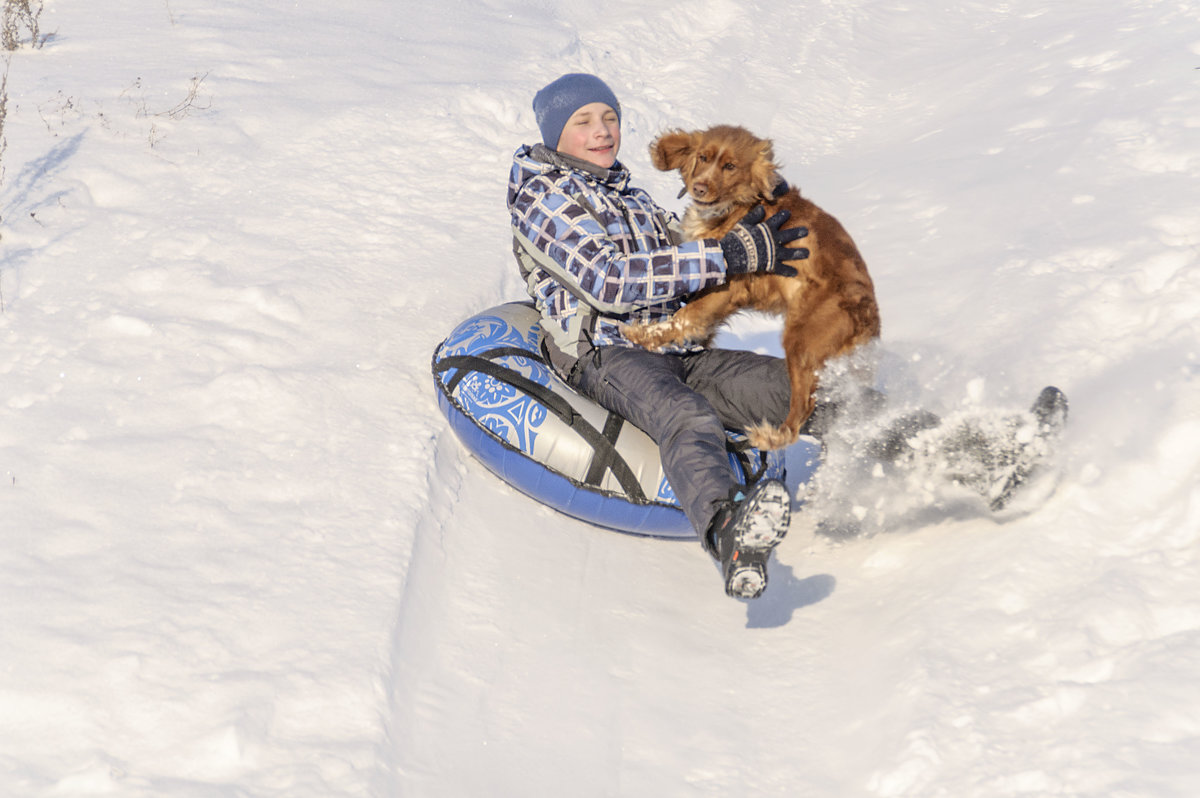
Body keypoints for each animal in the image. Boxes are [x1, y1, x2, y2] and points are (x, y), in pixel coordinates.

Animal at [624, 123, 878, 448]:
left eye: (730, 166)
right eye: (703, 157)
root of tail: (867, 315)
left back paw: (769, 437)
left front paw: (639, 334)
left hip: (801, 342)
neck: (739, 207)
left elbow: (684, 317)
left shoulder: (727, 288)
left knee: (802, 409)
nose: (700, 187)